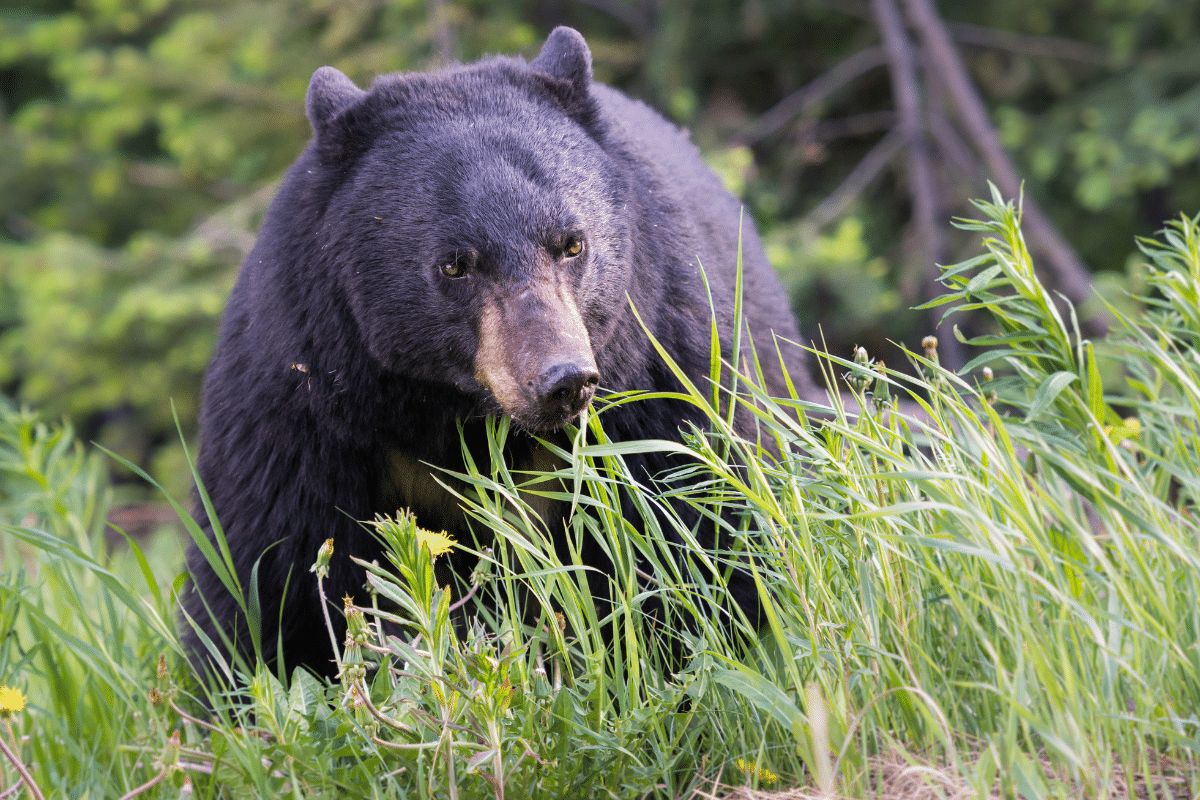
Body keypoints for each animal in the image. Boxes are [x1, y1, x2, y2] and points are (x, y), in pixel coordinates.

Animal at [182, 26, 820, 676]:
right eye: (454, 264)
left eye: (572, 243)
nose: (563, 379)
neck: (455, 416)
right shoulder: (303, 408)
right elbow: (267, 574)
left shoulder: (658, 366)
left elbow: (699, 521)